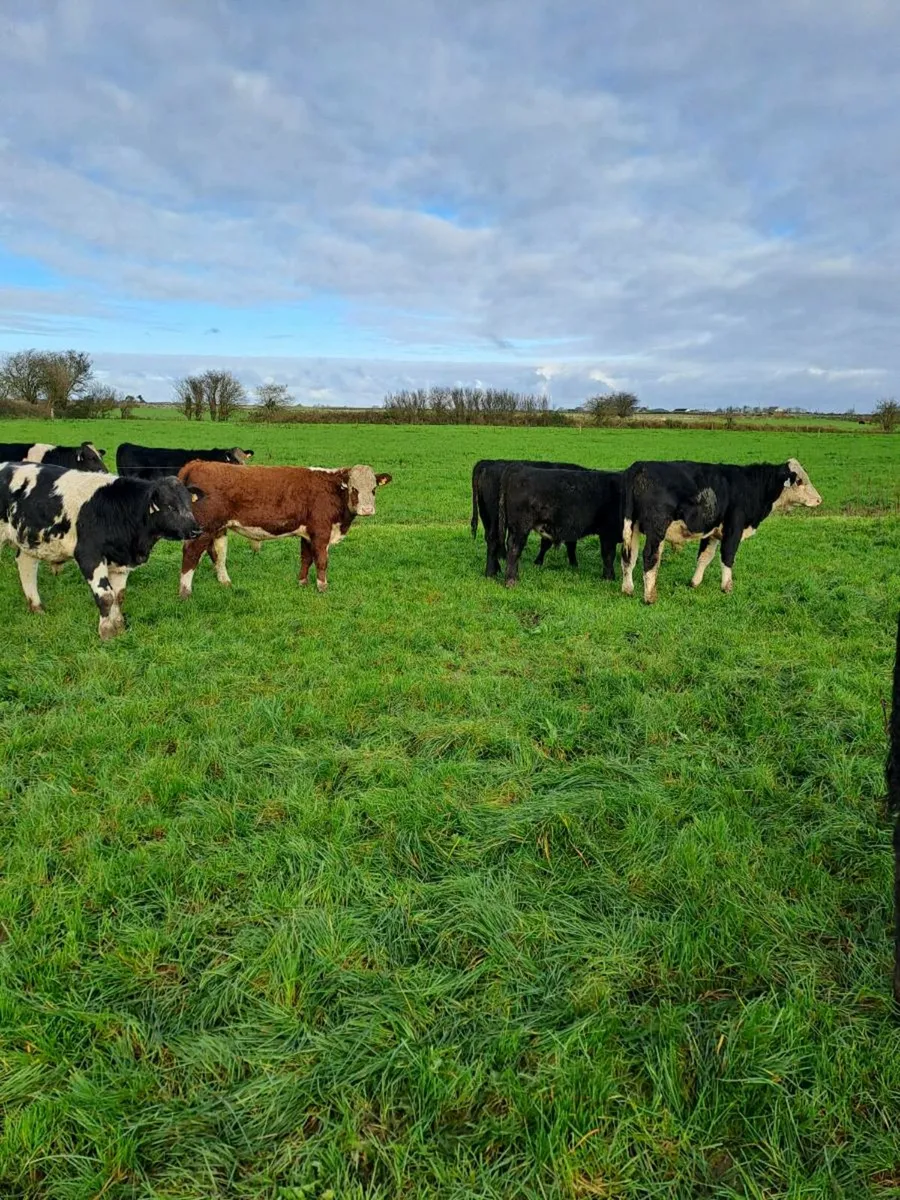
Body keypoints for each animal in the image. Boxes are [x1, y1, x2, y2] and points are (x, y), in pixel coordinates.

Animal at [0, 462, 204, 639]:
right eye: (170, 506)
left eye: (189, 503)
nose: (196, 529)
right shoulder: (89, 555)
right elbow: (106, 596)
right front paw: (106, 632)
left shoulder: (122, 561)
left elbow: (118, 596)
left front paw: (120, 626)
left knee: (26, 565)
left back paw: (37, 607)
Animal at [176, 461, 391, 597]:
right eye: (354, 489)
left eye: (374, 489)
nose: (367, 510)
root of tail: (198, 463)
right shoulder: (321, 532)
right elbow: (322, 561)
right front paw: (322, 587)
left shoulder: (307, 533)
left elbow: (306, 559)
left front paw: (302, 583)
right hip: (204, 528)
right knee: (191, 554)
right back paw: (185, 592)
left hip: (219, 528)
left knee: (217, 553)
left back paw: (225, 582)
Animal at [620, 458, 823, 604]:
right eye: (799, 481)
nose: (819, 500)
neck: (751, 486)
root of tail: (641, 466)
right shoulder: (734, 529)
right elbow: (728, 556)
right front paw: (727, 587)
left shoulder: (713, 532)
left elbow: (704, 557)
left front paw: (694, 583)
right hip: (657, 528)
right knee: (649, 556)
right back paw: (649, 597)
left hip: (633, 527)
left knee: (629, 556)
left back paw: (628, 589)